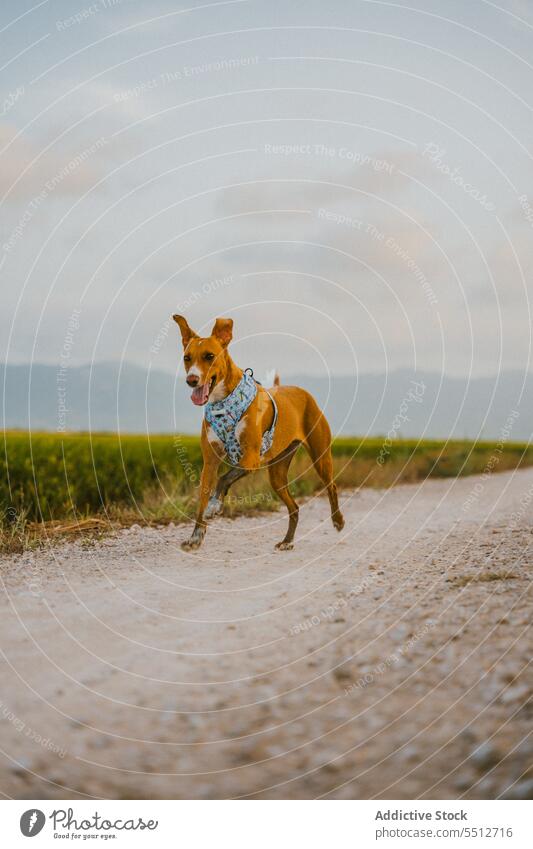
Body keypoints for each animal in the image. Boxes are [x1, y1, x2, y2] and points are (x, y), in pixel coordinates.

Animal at [172, 314, 342, 552]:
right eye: (187, 358)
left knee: (332, 486)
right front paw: (196, 536)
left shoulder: (250, 458)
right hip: (277, 473)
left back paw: (338, 521)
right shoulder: (210, 463)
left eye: (209, 356)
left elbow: (224, 478)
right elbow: (203, 498)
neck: (223, 402)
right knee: (294, 507)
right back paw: (287, 540)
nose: (192, 380)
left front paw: (215, 506)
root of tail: (303, 392)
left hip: (321, 456)